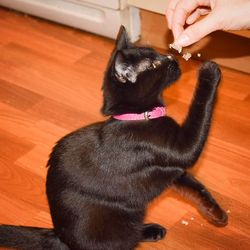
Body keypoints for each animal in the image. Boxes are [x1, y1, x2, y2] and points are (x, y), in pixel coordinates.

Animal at [0, 25, 227, 250]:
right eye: (154, 64)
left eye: (159, 54)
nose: (173, 59)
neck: (136, 116)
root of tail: (60, 237)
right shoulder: (182, 149)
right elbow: (200, 111)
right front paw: (208, 72)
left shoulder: (172, 169)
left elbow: (196, 188)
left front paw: (216, 215)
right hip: (123, 222)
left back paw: (153, 230)